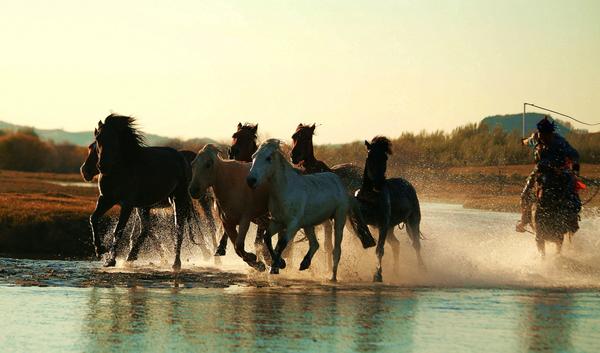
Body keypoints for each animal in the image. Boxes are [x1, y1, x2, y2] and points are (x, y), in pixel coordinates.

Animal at [90, 113, 200, 270]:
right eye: (98, 138)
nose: (102, 166)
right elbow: (93, 218)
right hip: (146, 205)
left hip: (177, 198)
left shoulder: (127, 204)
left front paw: (111, 260)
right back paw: (131, 256)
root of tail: (182, 158)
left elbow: (118, 230)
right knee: (146, 228)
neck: (120, 170)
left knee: (178, 228)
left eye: (114, 139)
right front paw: (100, 250)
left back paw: (176, 263)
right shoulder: (105, 199)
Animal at [246, 139, 372, 280]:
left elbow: (282, 243)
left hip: (339, 218)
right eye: (253, 156)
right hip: (308, 225)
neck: (286, 189)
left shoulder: (293, 225)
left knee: (336, 250)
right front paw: (278, 264)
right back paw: (304, 263)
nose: (251, 180)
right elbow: (267, 239)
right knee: (315, 244)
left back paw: (333, 277)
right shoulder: (277, 222)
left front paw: (277, 265)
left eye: (268, 158)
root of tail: (341, 184)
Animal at [358, 136, 424, 282]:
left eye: (385, 158)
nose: (378, 185)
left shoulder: (383, 224)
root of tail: (408, 185)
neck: (371, 196)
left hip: (412, 221)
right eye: (369, 155)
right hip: (390, 229)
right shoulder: (370, 223)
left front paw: (377, 275)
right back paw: (395, 272)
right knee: (396, 244)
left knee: (416, 244)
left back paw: (422, 270)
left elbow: (379, 250)